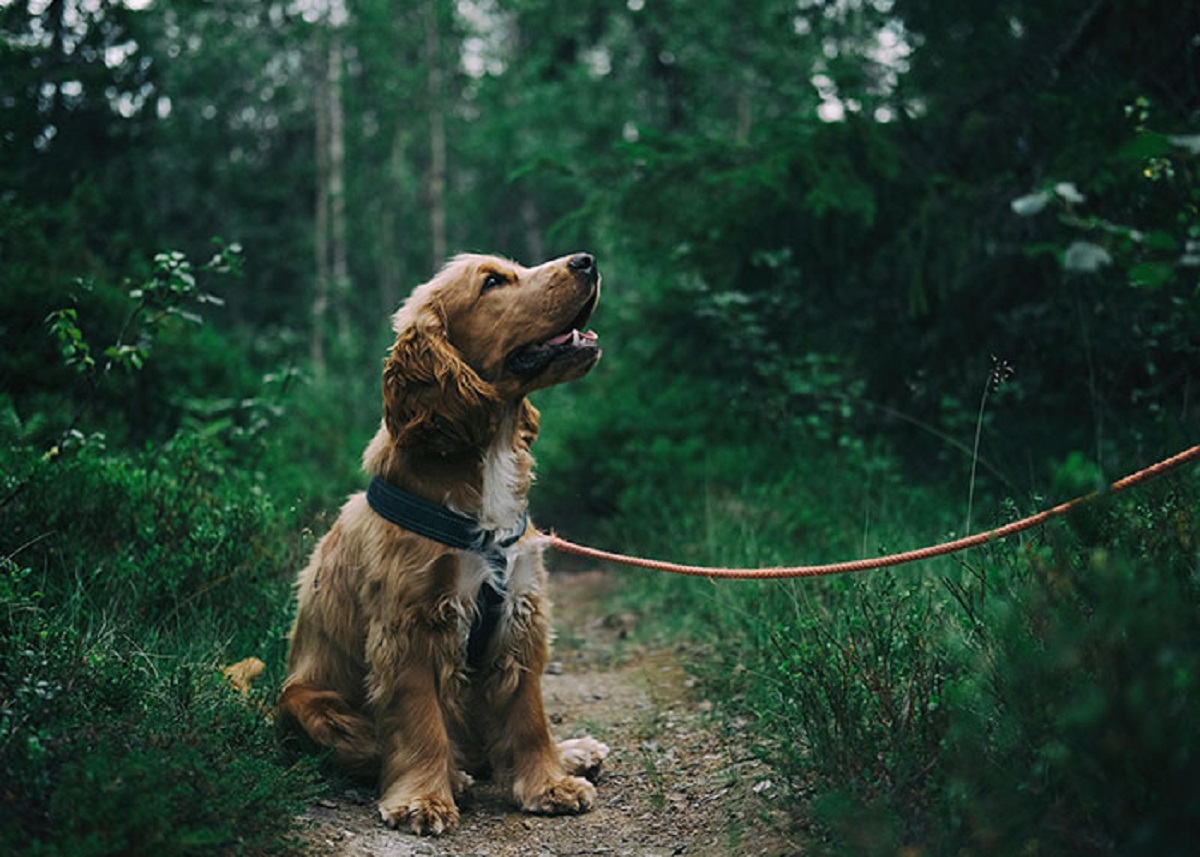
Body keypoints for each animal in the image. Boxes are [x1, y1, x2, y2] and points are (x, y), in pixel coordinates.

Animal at [278, 250, 609, 830]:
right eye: (493, 282)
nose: (586, 260)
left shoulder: (520, 612)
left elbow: (529, 715)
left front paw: (549, 783)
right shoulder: (411, 624)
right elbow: (420, 720)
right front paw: (424, 799)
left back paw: (572, 752)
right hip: (307, 704)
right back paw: (454, 776)